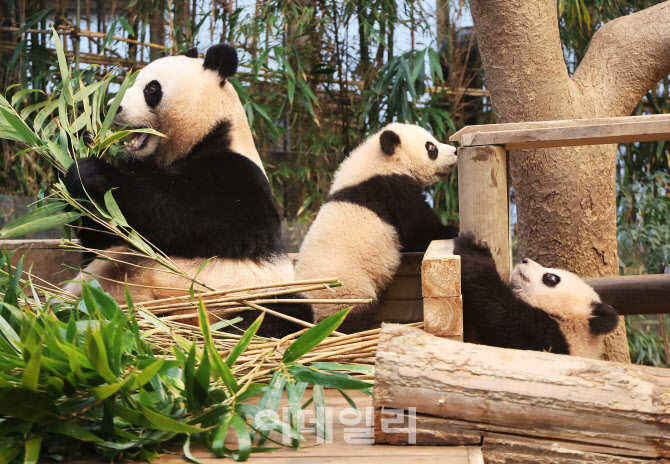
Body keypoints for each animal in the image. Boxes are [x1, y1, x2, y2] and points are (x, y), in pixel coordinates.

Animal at [64, 44, 314, 338]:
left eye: (151, 88)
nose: (113, 108)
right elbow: (101, 241)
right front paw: (80, 143)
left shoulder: (239, 178)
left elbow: (181, 213)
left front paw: (92, 171)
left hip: (250, 295)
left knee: (283, 314)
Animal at [296, 123, 460, 334]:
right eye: (431, 147)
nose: (455, 151)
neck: (378, 162)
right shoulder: (390, 188)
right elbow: (418, 225)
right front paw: (451, 230)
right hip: (345, 288)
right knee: (349, 314)